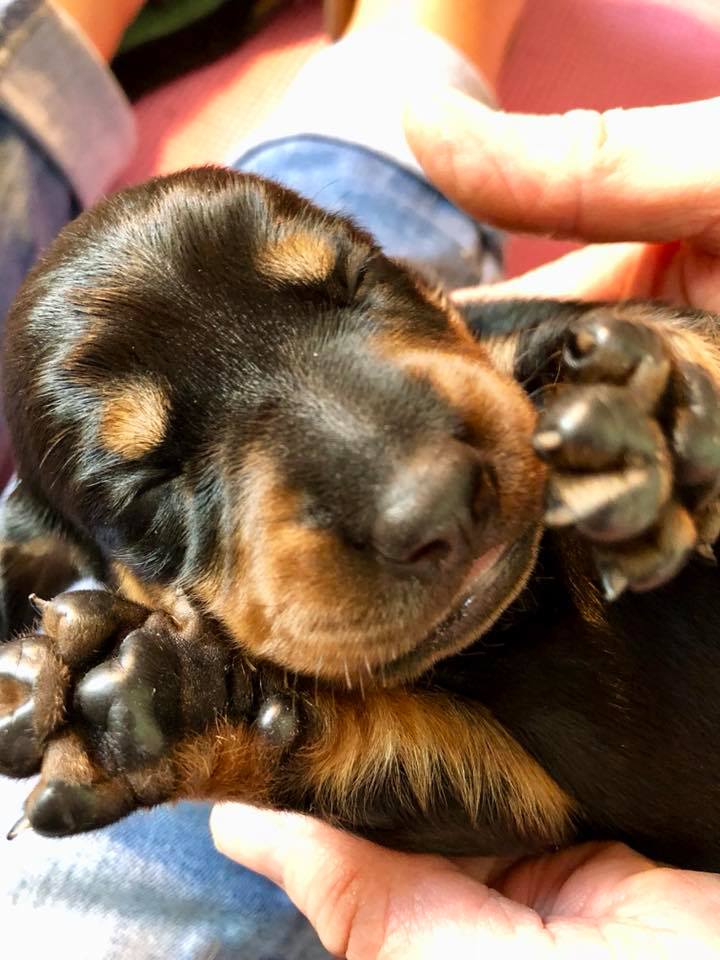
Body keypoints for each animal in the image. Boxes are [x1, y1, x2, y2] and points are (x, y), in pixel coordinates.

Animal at [1, 169, 720, 872]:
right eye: (148, 485)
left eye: (357, 278)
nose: (438, 496)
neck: (515, 615)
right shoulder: (515, 794)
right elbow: (362, 745)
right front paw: (155, 698)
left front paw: (655, 407)